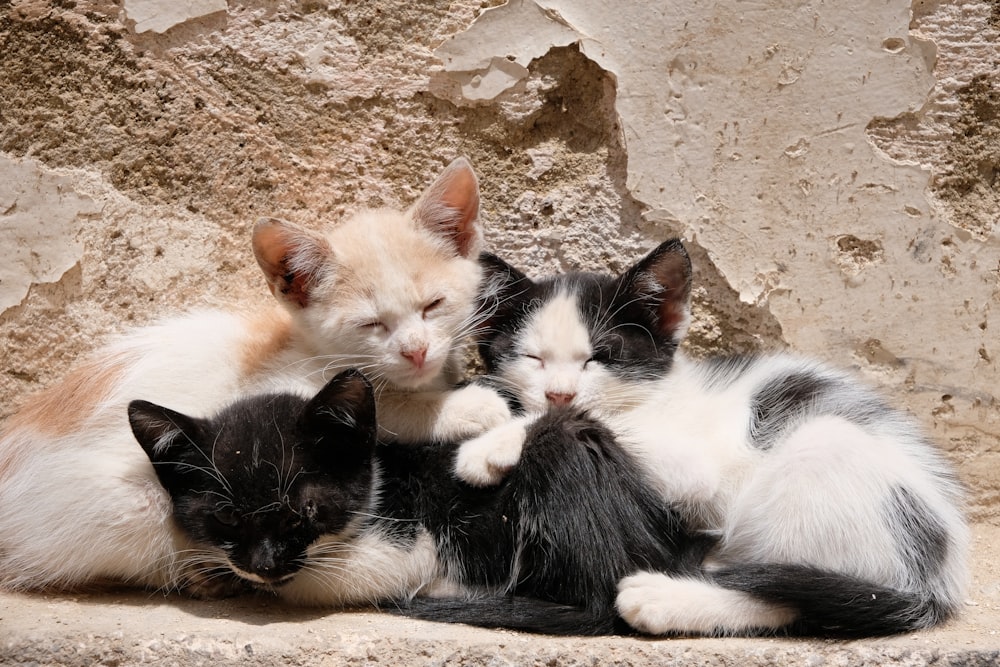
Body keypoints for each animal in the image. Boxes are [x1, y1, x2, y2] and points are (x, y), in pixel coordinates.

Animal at [129, 370, 708, 636]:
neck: (380, 484)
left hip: (561, 444)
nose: (265, 562)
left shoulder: (409, 540)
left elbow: (323, 582)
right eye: (226, 516)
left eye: (305, 510)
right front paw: (210, 575)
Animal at [454, 243, 968, 640]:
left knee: (788, 601)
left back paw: (666, 598)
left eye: (600, 357)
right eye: (533, 358)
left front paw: (489, 444)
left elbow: (581, 417)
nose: (559, 391)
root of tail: (941, 575)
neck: (655, 394)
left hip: (822, 452)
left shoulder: (692, 466)